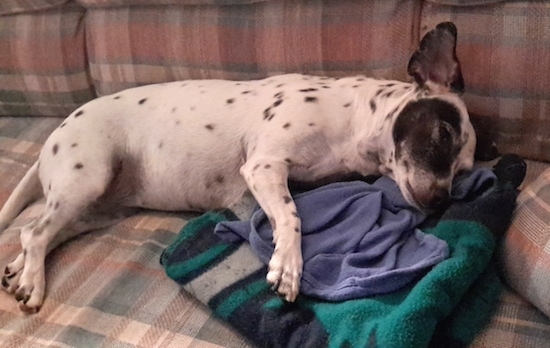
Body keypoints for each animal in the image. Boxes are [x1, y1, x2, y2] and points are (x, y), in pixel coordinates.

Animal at [0, 21, 476, 312]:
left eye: (466, 171)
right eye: (442, 135)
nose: (439, 202)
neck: (353, 121)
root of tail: (55, 135)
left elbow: (286, 213)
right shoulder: (263, 167)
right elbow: (291, 217)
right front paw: (288, 265)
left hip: (96, 210)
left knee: (36, 235)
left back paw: (20, 271)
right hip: (87, 180)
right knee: (34, 232)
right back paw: (33, 284)